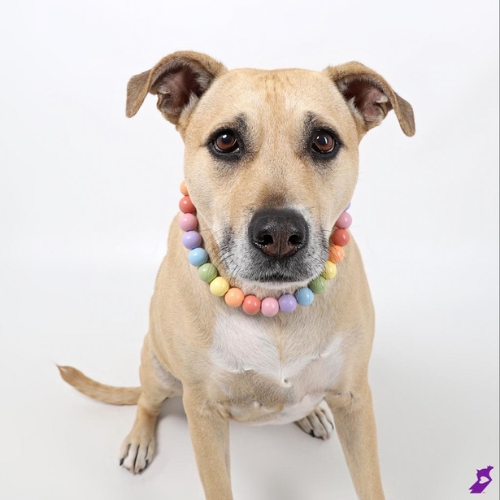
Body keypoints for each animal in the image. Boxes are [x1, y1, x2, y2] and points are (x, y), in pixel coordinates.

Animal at [58, 51, 414, 500]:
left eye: (324, 141)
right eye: (226, 141)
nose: (279, 235)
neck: (273, 307)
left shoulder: (355, 398)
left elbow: (369, 481)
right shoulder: (204, 412)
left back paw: (311, 412)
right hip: (155, 364)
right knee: (147, 403)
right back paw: (140, 439)